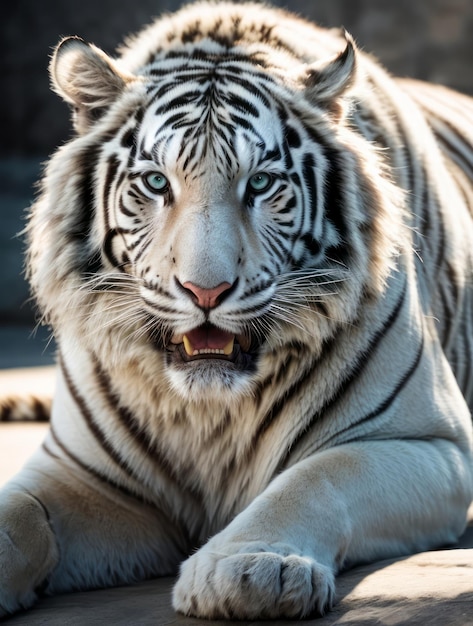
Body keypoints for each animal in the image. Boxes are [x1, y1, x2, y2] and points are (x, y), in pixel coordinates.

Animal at [0, 1, 472, 620]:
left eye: (262, 184)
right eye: (157, 182)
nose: (206, 291)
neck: (208, 412)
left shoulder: (429, 442)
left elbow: (317, 477)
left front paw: (253, 569)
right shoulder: (87, 475)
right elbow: (17, 514)